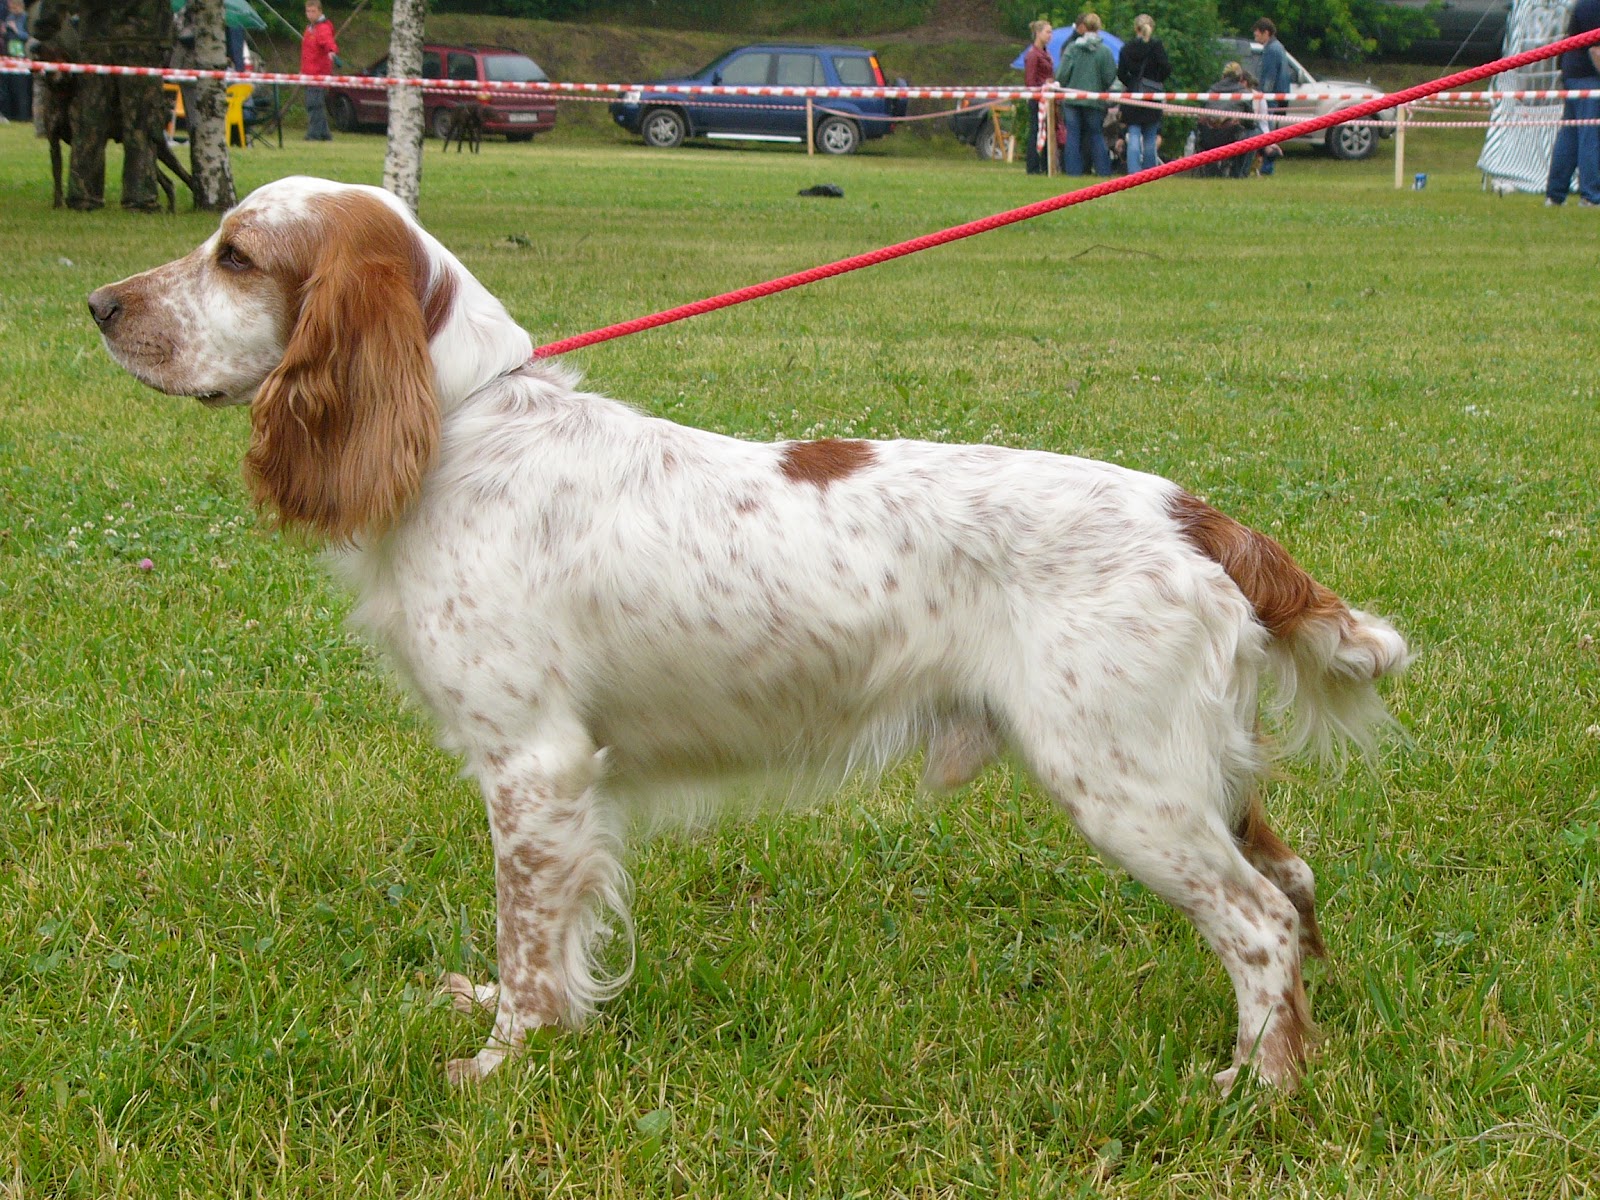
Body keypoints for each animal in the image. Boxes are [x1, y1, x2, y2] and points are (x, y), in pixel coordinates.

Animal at [90, 176, 1414, 1088]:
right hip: (1193, 772)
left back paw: (1252, 1088)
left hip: (1121, 779)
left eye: (234, 254)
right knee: (1291, 886)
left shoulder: (533, 766)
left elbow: (529, 947)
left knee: (1255, 925)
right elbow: (549, 943)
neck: (462, 425)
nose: (97, 304)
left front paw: (500, 1068)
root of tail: (1192, 513)